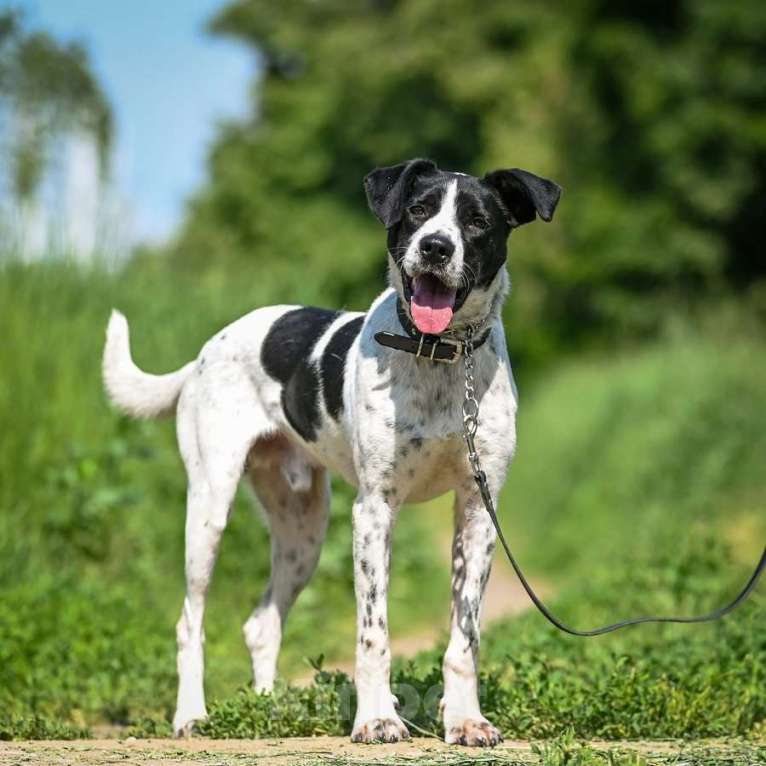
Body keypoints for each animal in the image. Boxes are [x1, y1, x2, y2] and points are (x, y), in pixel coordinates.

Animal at [102, 159, 560, 748]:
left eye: (478, 221)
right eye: (418, 210)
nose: (435, 246)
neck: (439, 355)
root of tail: (205, 350)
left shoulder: (479, 511)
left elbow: (465, 638)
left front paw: (464, 720)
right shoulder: (374, 511)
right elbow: (373, 634)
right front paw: (377, 718)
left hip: (304, 530)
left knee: (261, 624)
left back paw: (268, 709)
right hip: (209, 509)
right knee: (189, 621)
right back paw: (191, 716)